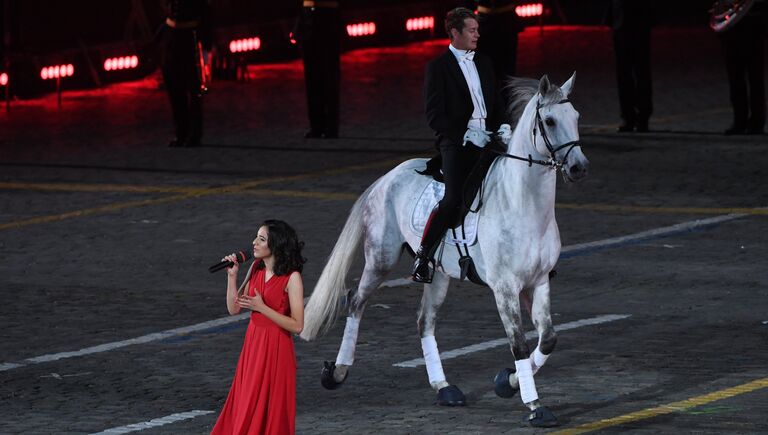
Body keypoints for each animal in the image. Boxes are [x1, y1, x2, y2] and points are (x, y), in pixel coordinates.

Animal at [300, 73, 588, 428]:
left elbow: (547, 338)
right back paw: (337, 373)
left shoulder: (539, 281)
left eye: (575, 117)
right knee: (356, 301)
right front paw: (534, 406)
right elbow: (519, 344)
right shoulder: (505, 288)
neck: (524, 204)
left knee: (424, 321)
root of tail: (386, 178)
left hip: (437, 273)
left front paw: (506, 383)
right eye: (549, 121)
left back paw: (444, 388)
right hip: (381, 258)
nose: (578, 167)